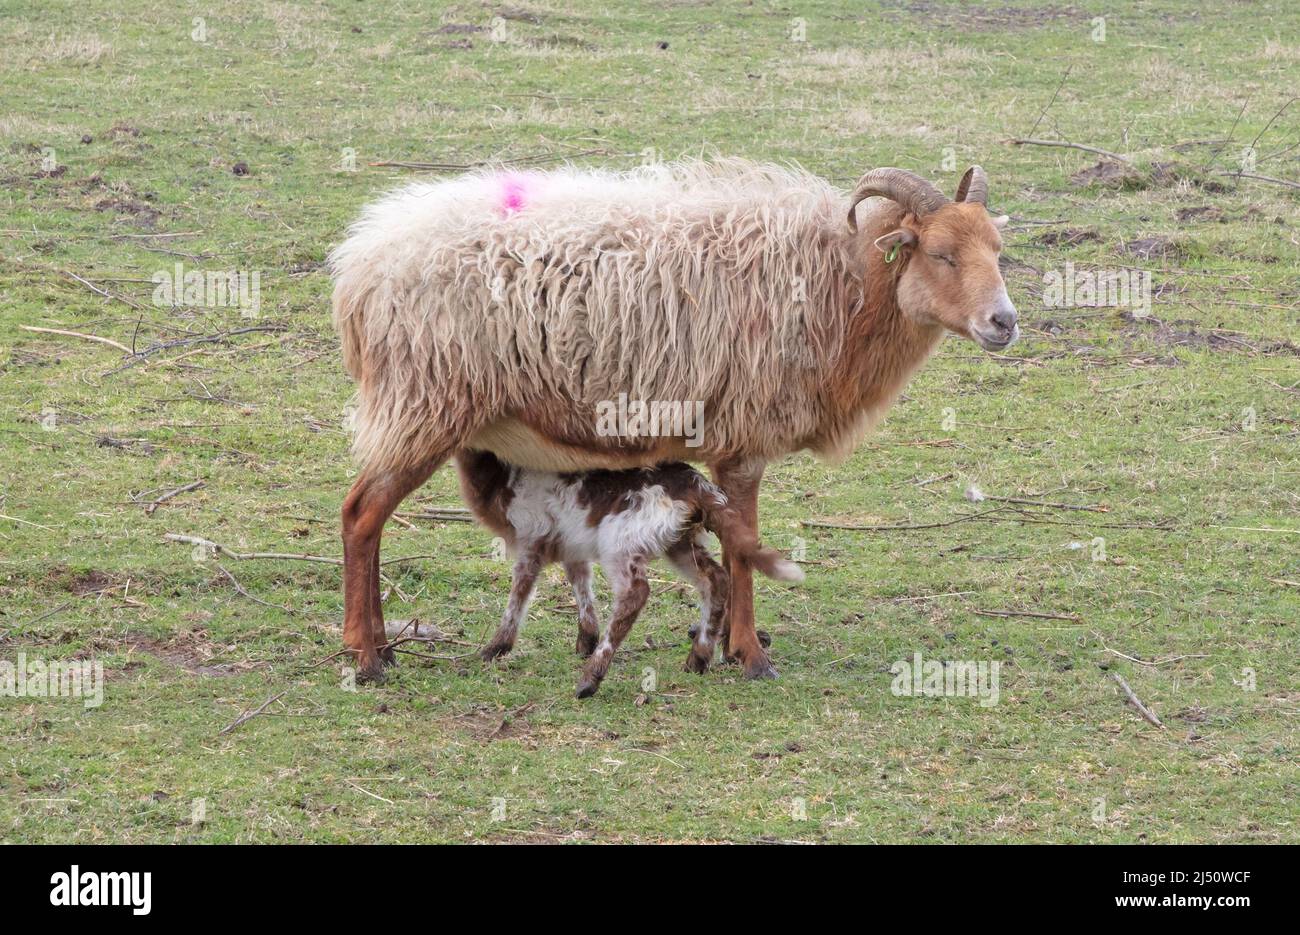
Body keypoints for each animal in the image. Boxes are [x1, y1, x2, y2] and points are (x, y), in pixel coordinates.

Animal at [452, 450, 803, 697]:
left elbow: (520, 592)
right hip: (679, 540)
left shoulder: (532, 536)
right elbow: (580, 580)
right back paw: (698, 658)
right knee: (714, 579)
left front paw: (495, 647)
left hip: (622, 540)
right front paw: (586, 639)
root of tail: (698, 488)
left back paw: (589, 681)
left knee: (636, 593)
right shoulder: (571, 541)